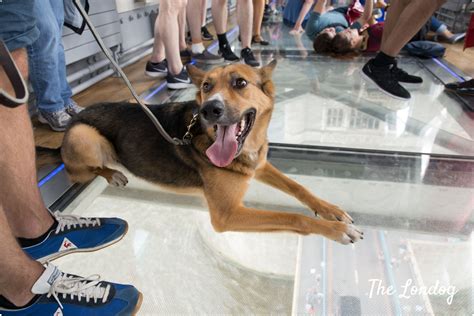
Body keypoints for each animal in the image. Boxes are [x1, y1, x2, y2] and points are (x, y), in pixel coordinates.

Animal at [55, 61, 362, 244]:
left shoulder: (260, 166)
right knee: (90, 169)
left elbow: (299, 187)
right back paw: (113, 174)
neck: (246, 149)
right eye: (206, 86)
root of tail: (76, 116)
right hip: (85, 136)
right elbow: (292, 217)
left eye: (240, 83)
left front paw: (331, 210)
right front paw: (335, 230)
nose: (209, 109)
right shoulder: (227, 215)